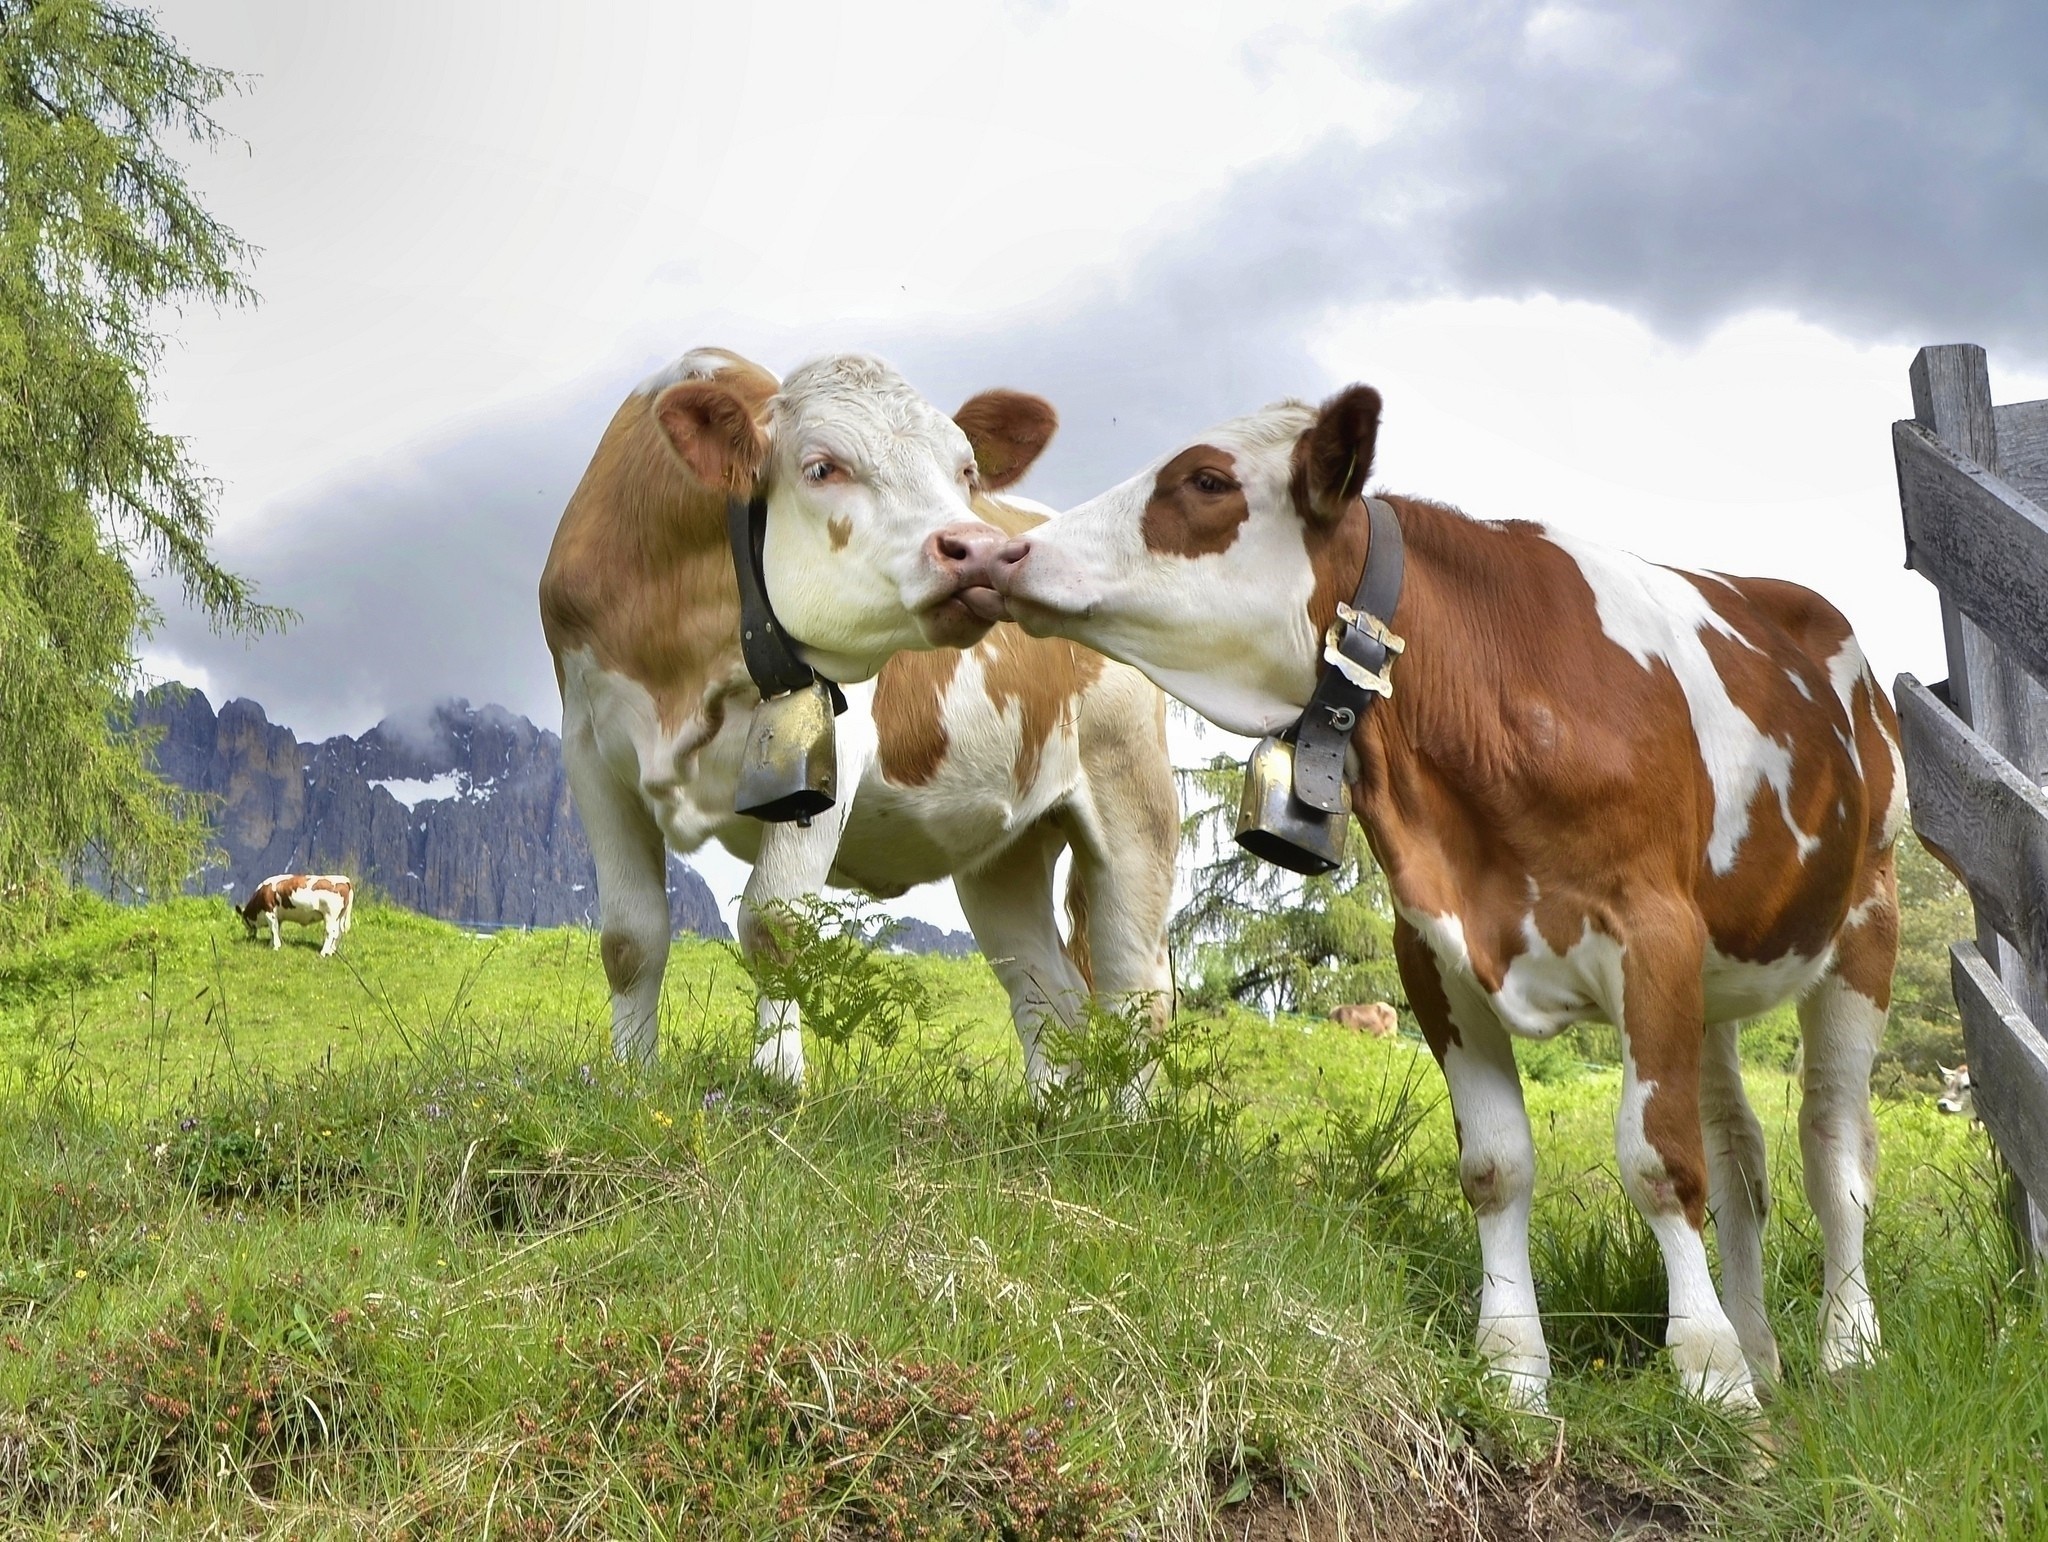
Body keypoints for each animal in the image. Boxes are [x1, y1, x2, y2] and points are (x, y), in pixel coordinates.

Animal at [539, 349, 1177, 1092]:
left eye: (967, 471)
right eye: (822, 468)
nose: (980, 550)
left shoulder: (831, 748)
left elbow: (775, 922)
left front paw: (779, 1080)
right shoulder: (589, 750)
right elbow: (629, 938)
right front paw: (631, 1079)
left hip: (1132, 799)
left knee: (1137, 999)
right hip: (1005, 852)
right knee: (1047, 993)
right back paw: (1050, 1111)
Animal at [988, 383, 1903, 1413]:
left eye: (1208, 481)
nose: (1007, 552)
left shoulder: (1651, 934)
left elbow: (1661, 1161)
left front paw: (1710, 1374)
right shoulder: (1433, 947)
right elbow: (1496, 1164)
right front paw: (1516, 1372)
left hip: (1865, 925)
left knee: (1835, 1150)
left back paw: (1847, 1350)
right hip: (1717, 978)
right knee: (1742, 1150)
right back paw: (1762, 1345)